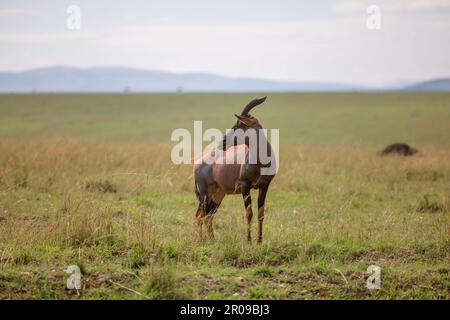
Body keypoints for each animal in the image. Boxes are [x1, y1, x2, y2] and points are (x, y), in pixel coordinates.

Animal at [192, 96, 276, 244]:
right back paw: (202, 240)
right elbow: (249, 213)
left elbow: (261, 214)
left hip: (218, 195)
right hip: (204, 195)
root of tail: (197, 164)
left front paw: (259, 242)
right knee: (200, 215)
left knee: (209, 216)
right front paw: (248, 241)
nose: (222, 142)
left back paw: (212, 240)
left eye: (239, 125)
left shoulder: (264, 186)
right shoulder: (245, 186)